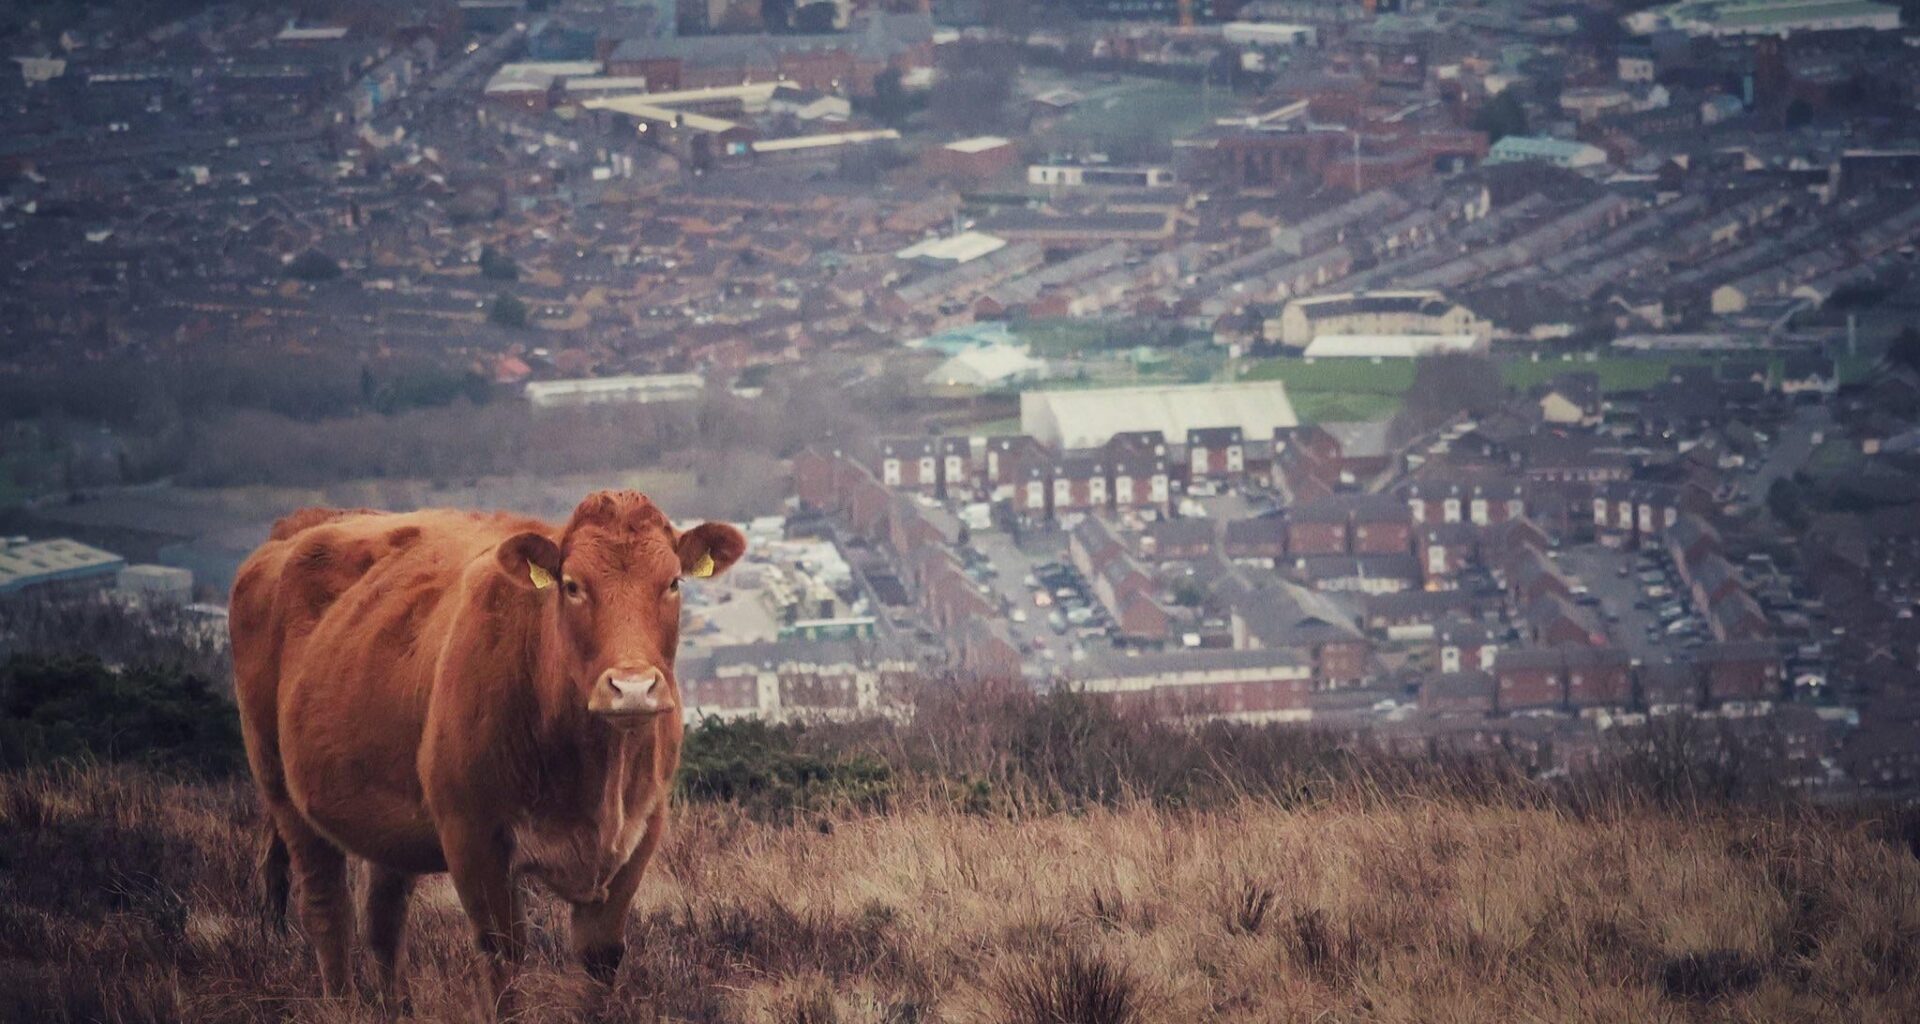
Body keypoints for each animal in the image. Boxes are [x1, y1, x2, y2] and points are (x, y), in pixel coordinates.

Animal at [229, 491, 745, 1011]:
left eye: (673, 582)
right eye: (572, 586)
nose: (633, 688)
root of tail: (299, 526)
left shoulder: (640, 833)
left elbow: (599, 958)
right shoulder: (473, 835)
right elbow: (503, 957)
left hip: (385, 820)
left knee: (384, 920)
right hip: (283, 791)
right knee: (327, 908)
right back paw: (343, 1004)